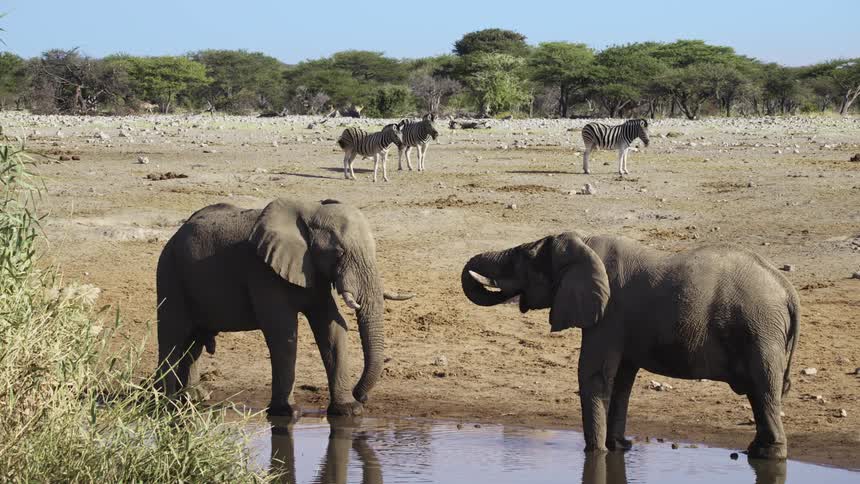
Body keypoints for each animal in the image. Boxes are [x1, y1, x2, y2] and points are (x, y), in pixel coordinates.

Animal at [156, 197, 413, 417]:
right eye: (339, 252)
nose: (362, 396)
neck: (311, 211)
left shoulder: (314, 271)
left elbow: (331, 328)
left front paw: (349, 409)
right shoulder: (262, 270)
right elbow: (283, 332)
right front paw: (287, 412)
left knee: (193, 343)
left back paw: (191, 399)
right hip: (169, 273)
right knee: (172, 337)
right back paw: (163, 402)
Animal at [461, 232, 800, 459]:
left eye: (524, 260)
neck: (584, 244)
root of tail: (787, 289)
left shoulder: (609, 314)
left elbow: (594, 375)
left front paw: (595, 452)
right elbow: (622, 379)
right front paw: (618, 447)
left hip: (760, 330)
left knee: (763, 389)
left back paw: (768, 455)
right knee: (760, 393)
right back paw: (756, 451)